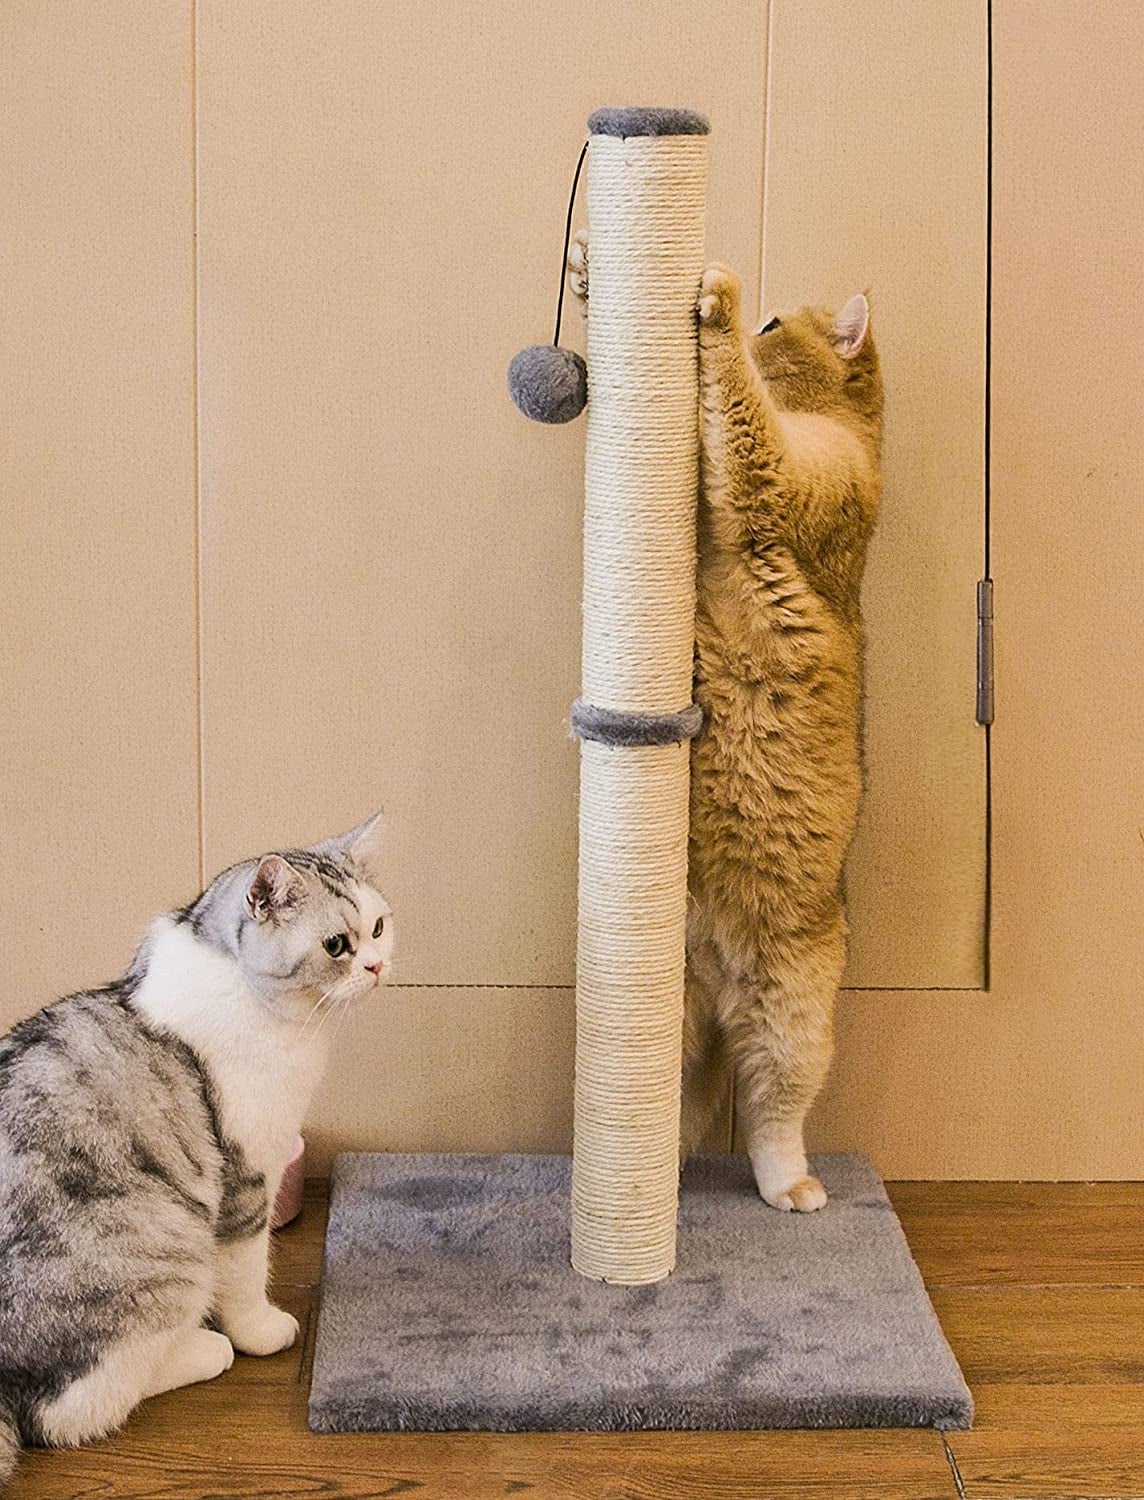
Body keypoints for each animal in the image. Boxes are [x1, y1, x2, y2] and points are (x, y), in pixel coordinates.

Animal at [0, 816, 392, 1482]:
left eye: (380, 928)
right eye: (337, 945)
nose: (377, 967)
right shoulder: (247, 1176)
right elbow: (246, 1271)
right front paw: (260, 1331)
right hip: (168, 1244)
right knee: (72, 1410)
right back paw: (204, 1351)